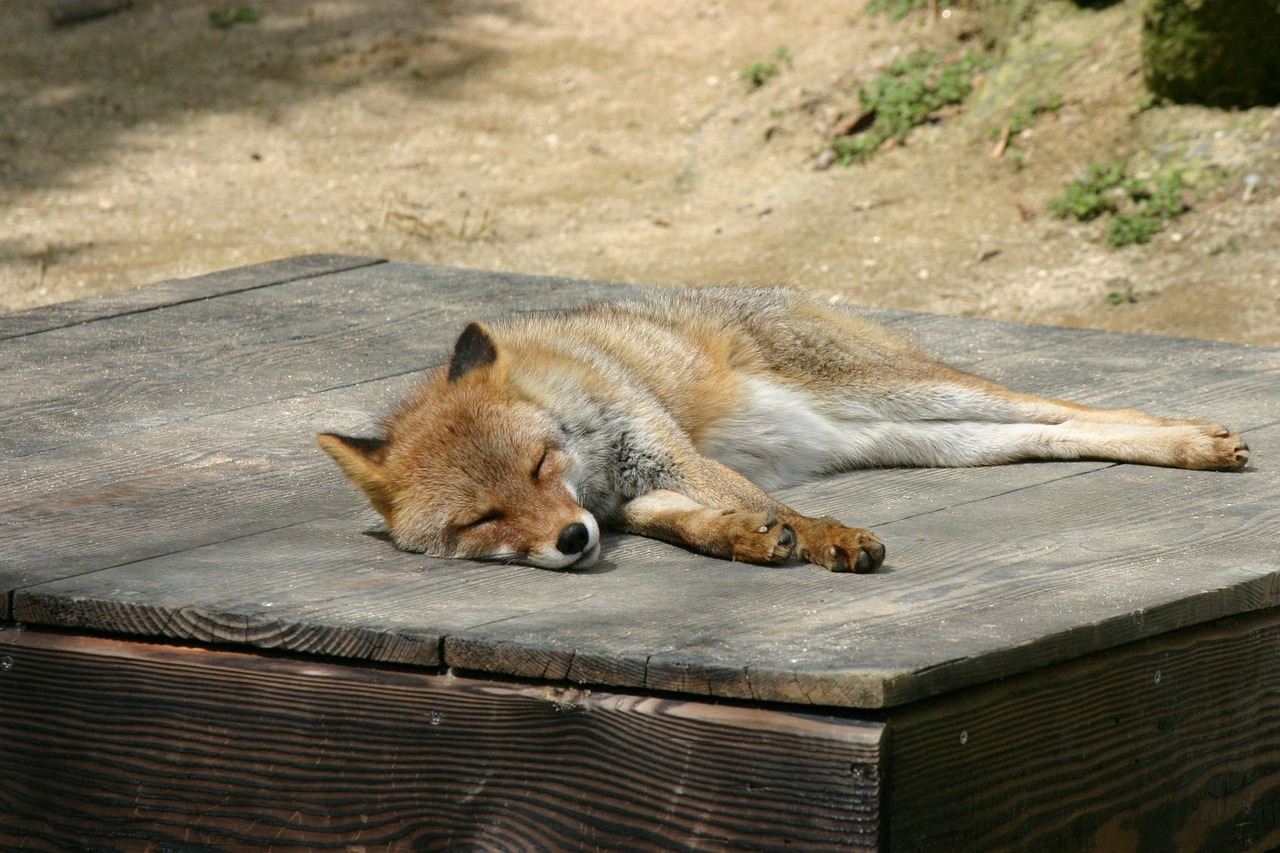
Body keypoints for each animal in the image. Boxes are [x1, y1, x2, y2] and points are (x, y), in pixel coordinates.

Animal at [320, 285, 1249, 571]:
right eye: (485, 518)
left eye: (543, 465)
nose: (574, 542)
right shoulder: (638, 501)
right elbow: (710, 526)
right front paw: (749, 540)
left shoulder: (663, 449)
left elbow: (776, 504)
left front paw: (829, 539)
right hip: (930, 438)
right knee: (1059, 435)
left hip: (915, 392)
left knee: (1082, 408)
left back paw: (1191, 440)